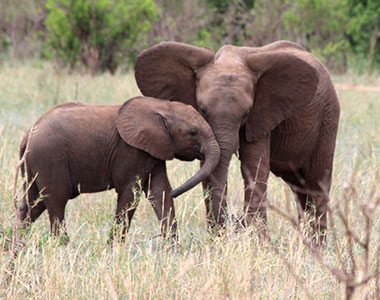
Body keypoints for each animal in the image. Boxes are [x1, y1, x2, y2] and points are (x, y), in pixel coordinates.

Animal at [16, 96, 221, 241]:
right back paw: (63, 246)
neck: (161, 107)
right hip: (49, 159)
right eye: (193, 133)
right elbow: (131, 195)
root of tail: (29, 134)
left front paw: (173, 250)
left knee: (32, 204)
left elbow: (160, 192)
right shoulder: (131, 151)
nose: (177, 192)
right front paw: (113, 248)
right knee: (56, 200)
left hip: (36, 164)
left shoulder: (153, 150)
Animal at [135, 40, 340, 241]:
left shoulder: (261, 116)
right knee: (300, 188)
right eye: (202, 109)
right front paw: (217, 240)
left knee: (317, 183)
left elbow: (253, 166)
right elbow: (208, 167)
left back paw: (316, 246)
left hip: (328, 118)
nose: (235, 220)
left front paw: (258, 242)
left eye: (247, 113)